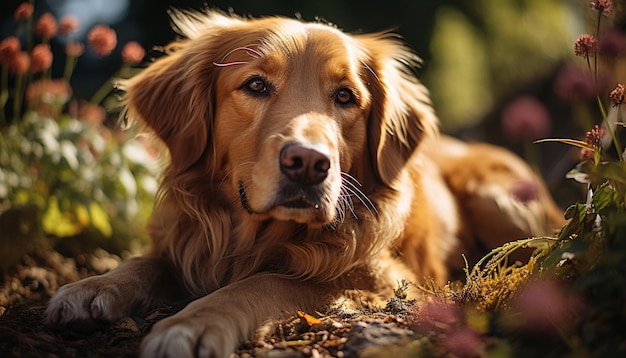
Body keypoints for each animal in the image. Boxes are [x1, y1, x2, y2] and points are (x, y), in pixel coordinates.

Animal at [44, 9, 560, 358]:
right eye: (255, 85)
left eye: (346, 96)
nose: (309, 163)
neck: (253, 236)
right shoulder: (189, 241)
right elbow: (147, 261)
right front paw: (93, 286)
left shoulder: (382, 280)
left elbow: (265, 281)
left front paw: (191, 323)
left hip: (498, 200)